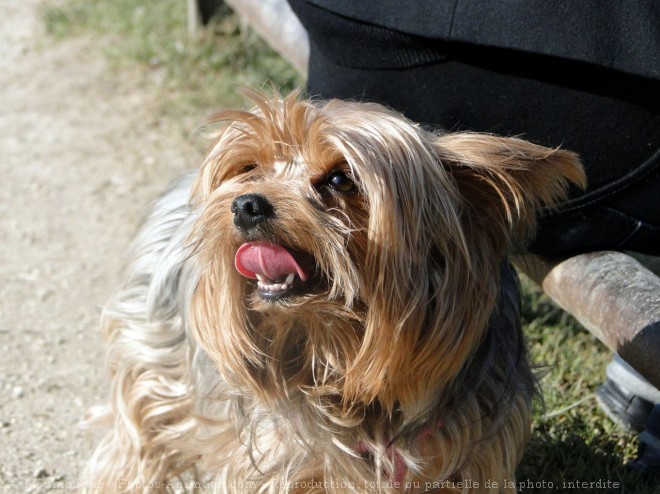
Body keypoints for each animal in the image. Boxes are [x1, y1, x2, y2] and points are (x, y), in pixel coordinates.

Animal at [85, 90, 584, 492]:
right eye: (250, 167)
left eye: (341, 179)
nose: (245, 204)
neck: (334, 349)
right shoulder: (283, 463)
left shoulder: (471, 460)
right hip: (153, 360)